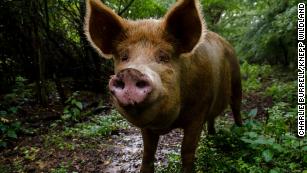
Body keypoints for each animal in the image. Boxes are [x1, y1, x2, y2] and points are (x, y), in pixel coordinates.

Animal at [84, 0, 243, 172]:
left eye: (164, 57)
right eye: (124, 57)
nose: (131, 72)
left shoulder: (199, 110)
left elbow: (187, 150)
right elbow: (148, 152)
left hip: (237, 80)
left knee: (236, 108)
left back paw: (240, 131)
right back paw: (211, 136)